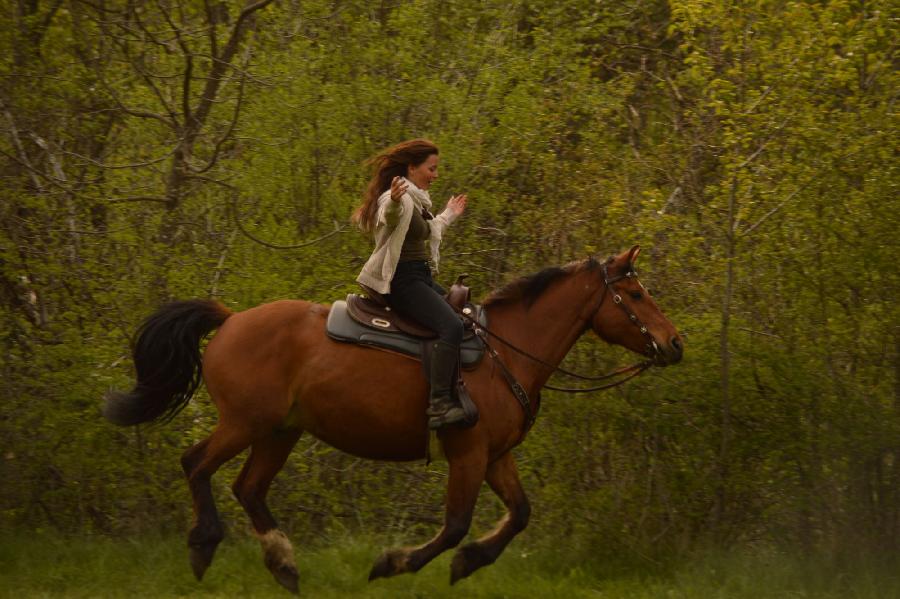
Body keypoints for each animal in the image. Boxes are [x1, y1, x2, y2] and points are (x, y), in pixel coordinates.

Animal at [103, 246, 684, 592]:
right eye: (635, 294)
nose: (675, 343)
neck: (506, 352)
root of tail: (231, 319)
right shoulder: (467, 454)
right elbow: (454, 526)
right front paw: (395, 563)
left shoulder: (496, 456)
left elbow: (519, 515)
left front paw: (470, 562)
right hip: (245, 424)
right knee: (196, 464)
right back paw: (204, 545)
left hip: (280, 431)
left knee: (248, 488)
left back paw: (285, 566)